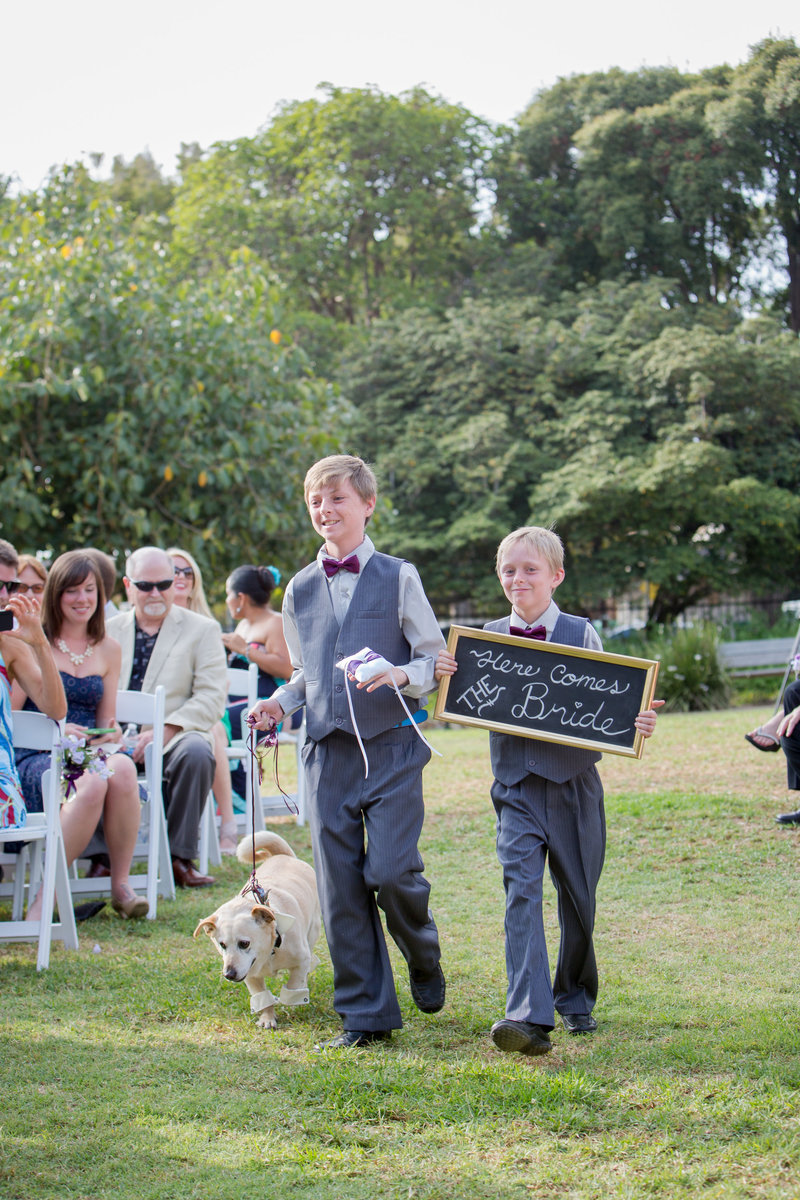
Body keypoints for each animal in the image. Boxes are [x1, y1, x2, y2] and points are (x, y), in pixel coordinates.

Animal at [191, 830, 321, 1027]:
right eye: (222, 945)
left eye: (244, 943)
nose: (229, 974)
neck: (270, 951)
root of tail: (283, 856)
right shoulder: (250, 975)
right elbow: (262, 997)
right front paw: (267, 1018)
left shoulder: (301, 958)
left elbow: (293, 984)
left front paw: (291, 998)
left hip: (313, 930)